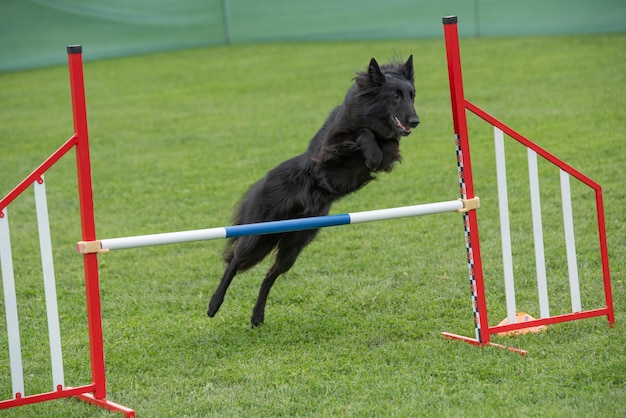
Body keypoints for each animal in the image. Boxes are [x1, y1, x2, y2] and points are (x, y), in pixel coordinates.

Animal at [207, 55, 416, 326]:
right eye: (396, 96)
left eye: (412, 95)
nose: (415, 121)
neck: (367, 114)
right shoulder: (328, 154)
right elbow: (363, 135)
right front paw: (370, 148)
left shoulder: (389, 152)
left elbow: (387, 147)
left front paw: (376, 152)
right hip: (257, 235)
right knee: (233, 261)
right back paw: (214, 304)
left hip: (293, 245)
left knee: (269, 276)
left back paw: (257, 315)